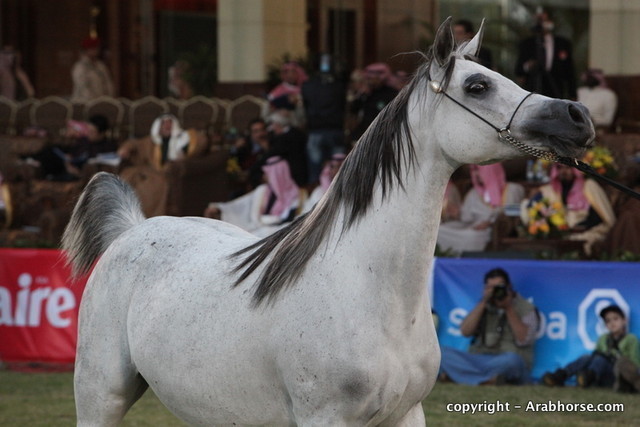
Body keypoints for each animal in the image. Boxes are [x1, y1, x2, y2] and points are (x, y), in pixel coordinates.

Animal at [63, 18, 594, 426]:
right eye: (477, 86)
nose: (578, 116)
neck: (369, 290)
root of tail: (132, 228)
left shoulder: (407, 414)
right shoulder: (326, 417)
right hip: (100, 396)